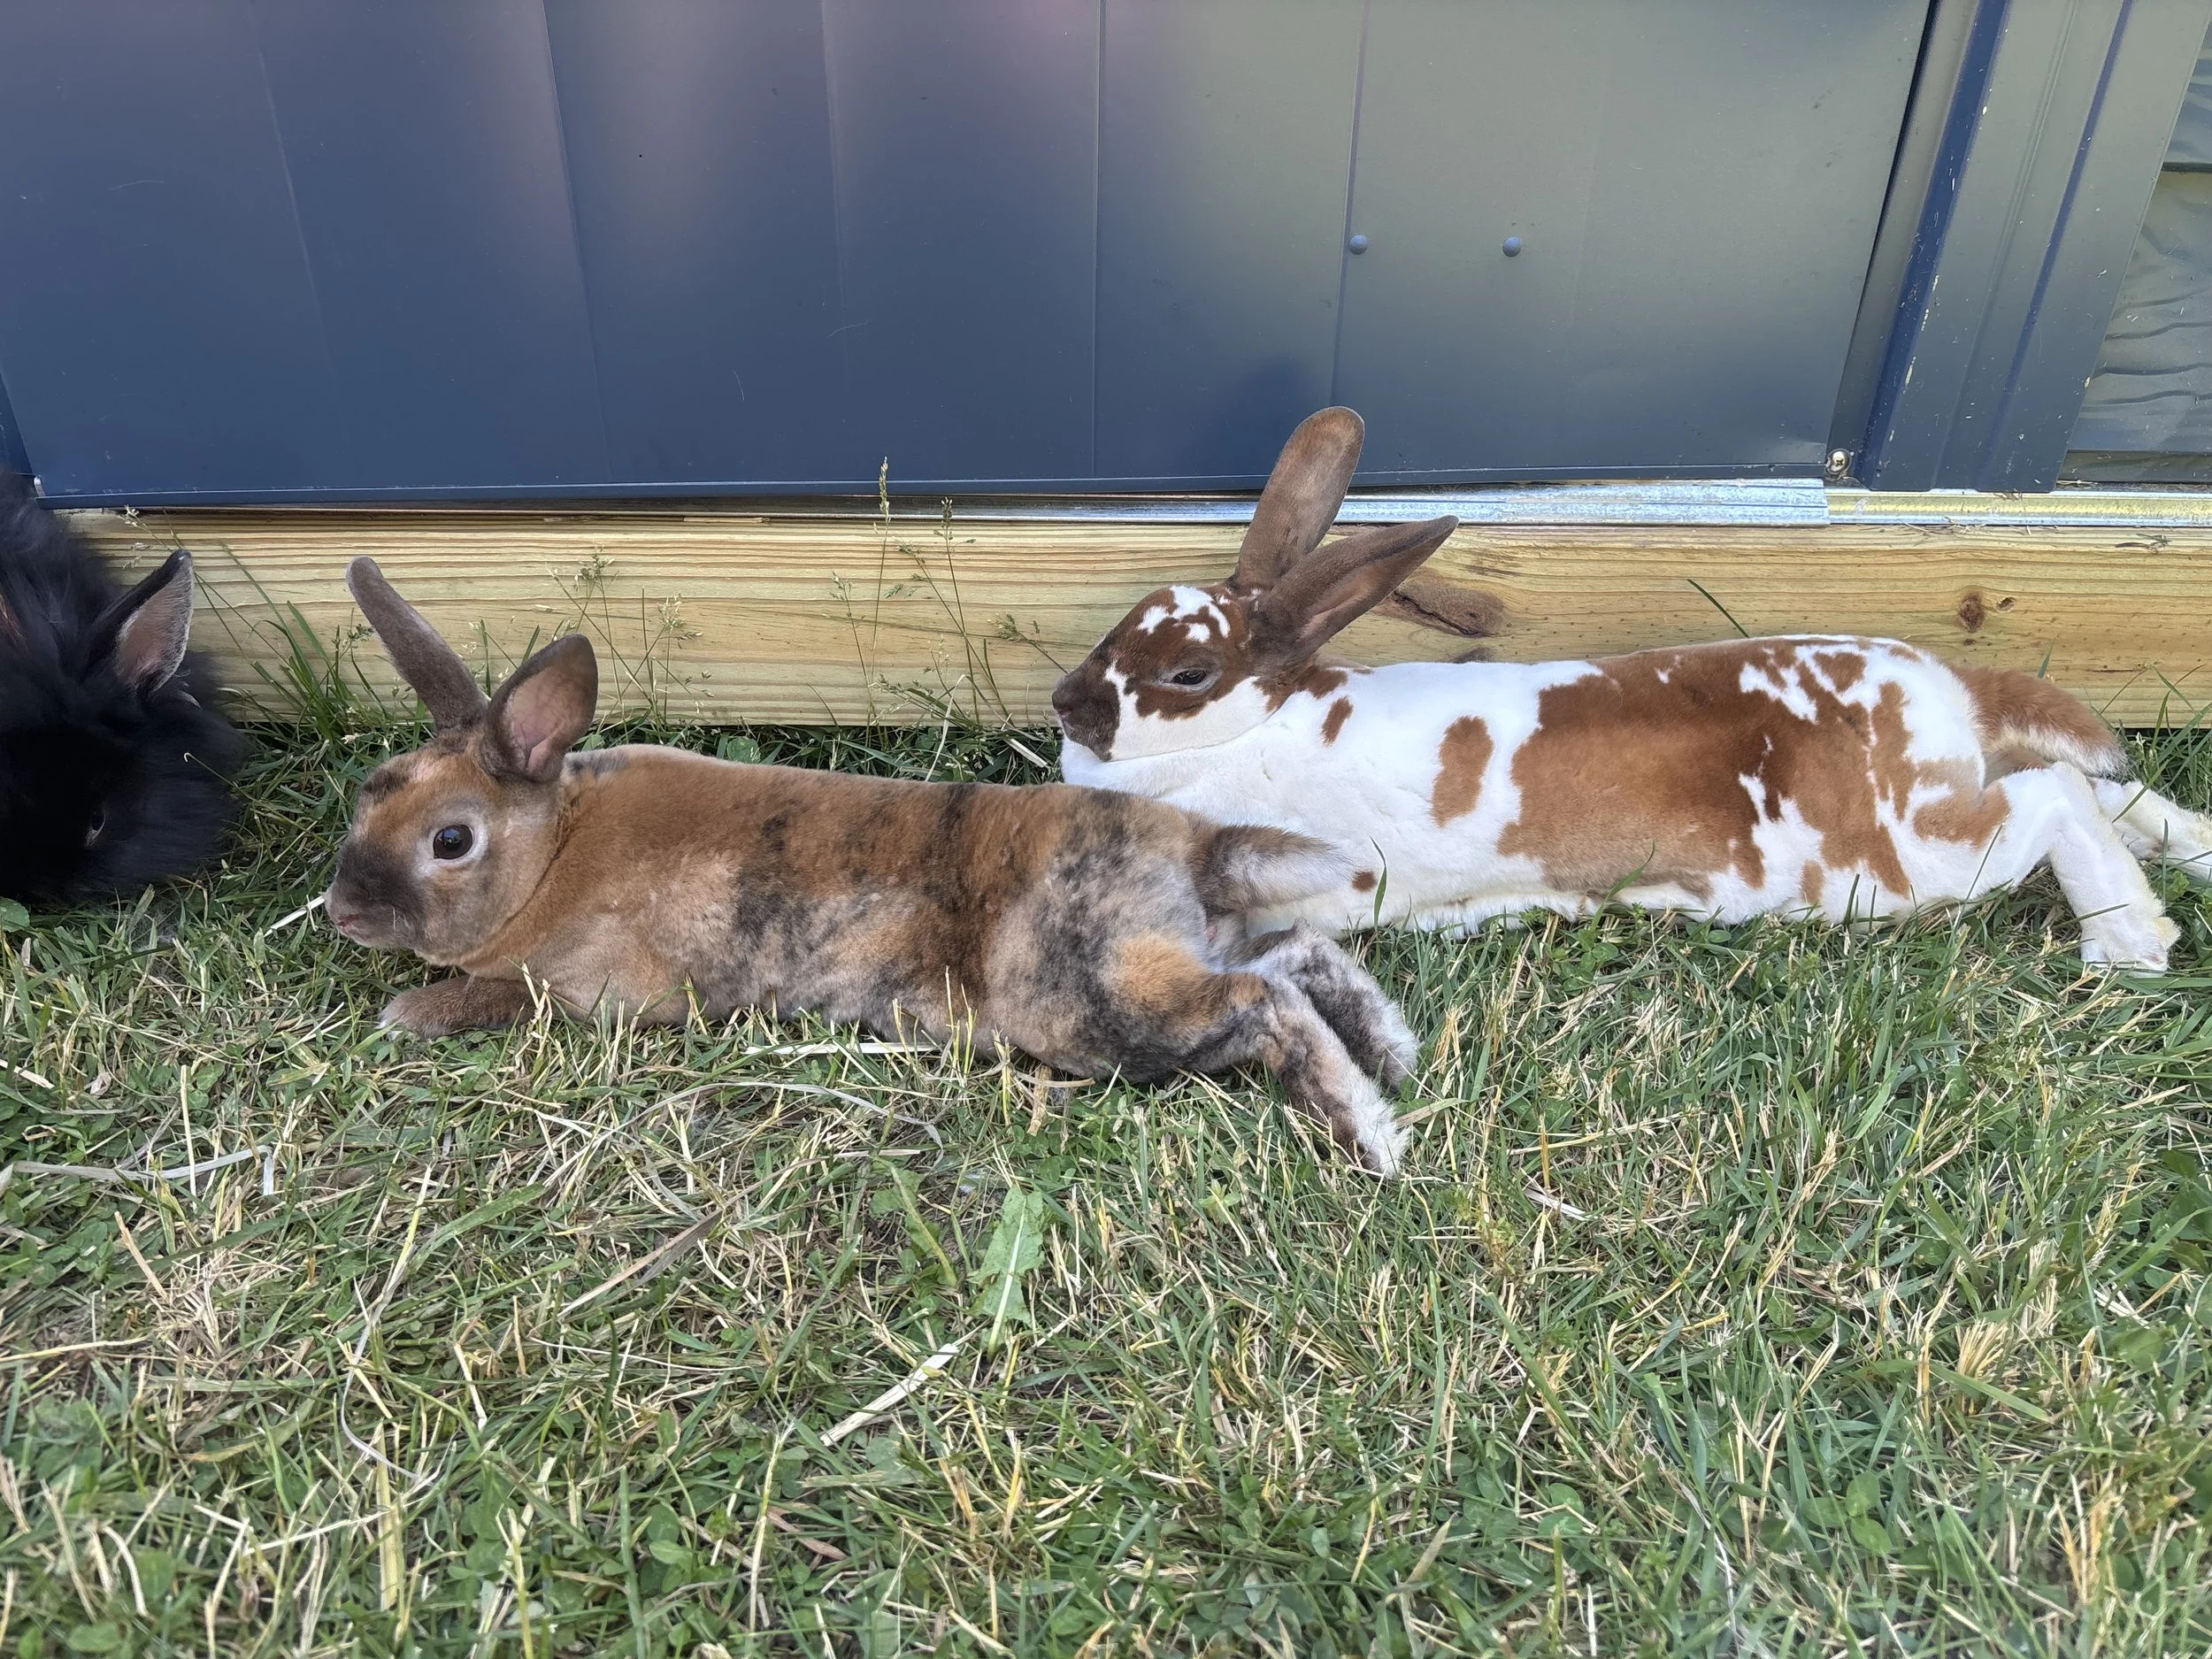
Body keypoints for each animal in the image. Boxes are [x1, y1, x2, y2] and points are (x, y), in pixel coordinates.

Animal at [322, 558, 1417, 1174]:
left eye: (451, 841)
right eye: (370, 793)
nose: (341, 911)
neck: (551, 856)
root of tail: (1192, 848)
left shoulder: (588, 994)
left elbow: (497, 999)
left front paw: (407, 1014)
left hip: (1094, 1006)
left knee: (1265, 1005)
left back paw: (1371, 1137)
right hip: (1176, 953)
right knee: (1299, 955)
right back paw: (1393, 1054)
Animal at [1053, 407, 2212, 973]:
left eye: (1186, 672)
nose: (1068, 704)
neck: (1255, 731)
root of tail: (1949, 687)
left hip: (1906, 854)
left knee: (2052, 802)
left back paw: (2131, 945)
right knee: (2107, 792)